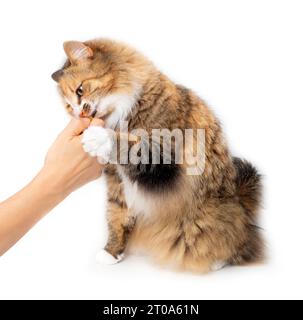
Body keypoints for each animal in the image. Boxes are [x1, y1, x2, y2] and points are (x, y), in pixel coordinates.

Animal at [51, 38, 264, 272]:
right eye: (69, 107)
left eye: (80, 90)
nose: (80, 113)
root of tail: (239, 200)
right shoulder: (117, 181)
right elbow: (116, 216)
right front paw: (112, 252)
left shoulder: (163, 158)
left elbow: (128, 144)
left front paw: (98, 137)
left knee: (234, 242)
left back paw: (216, 260)